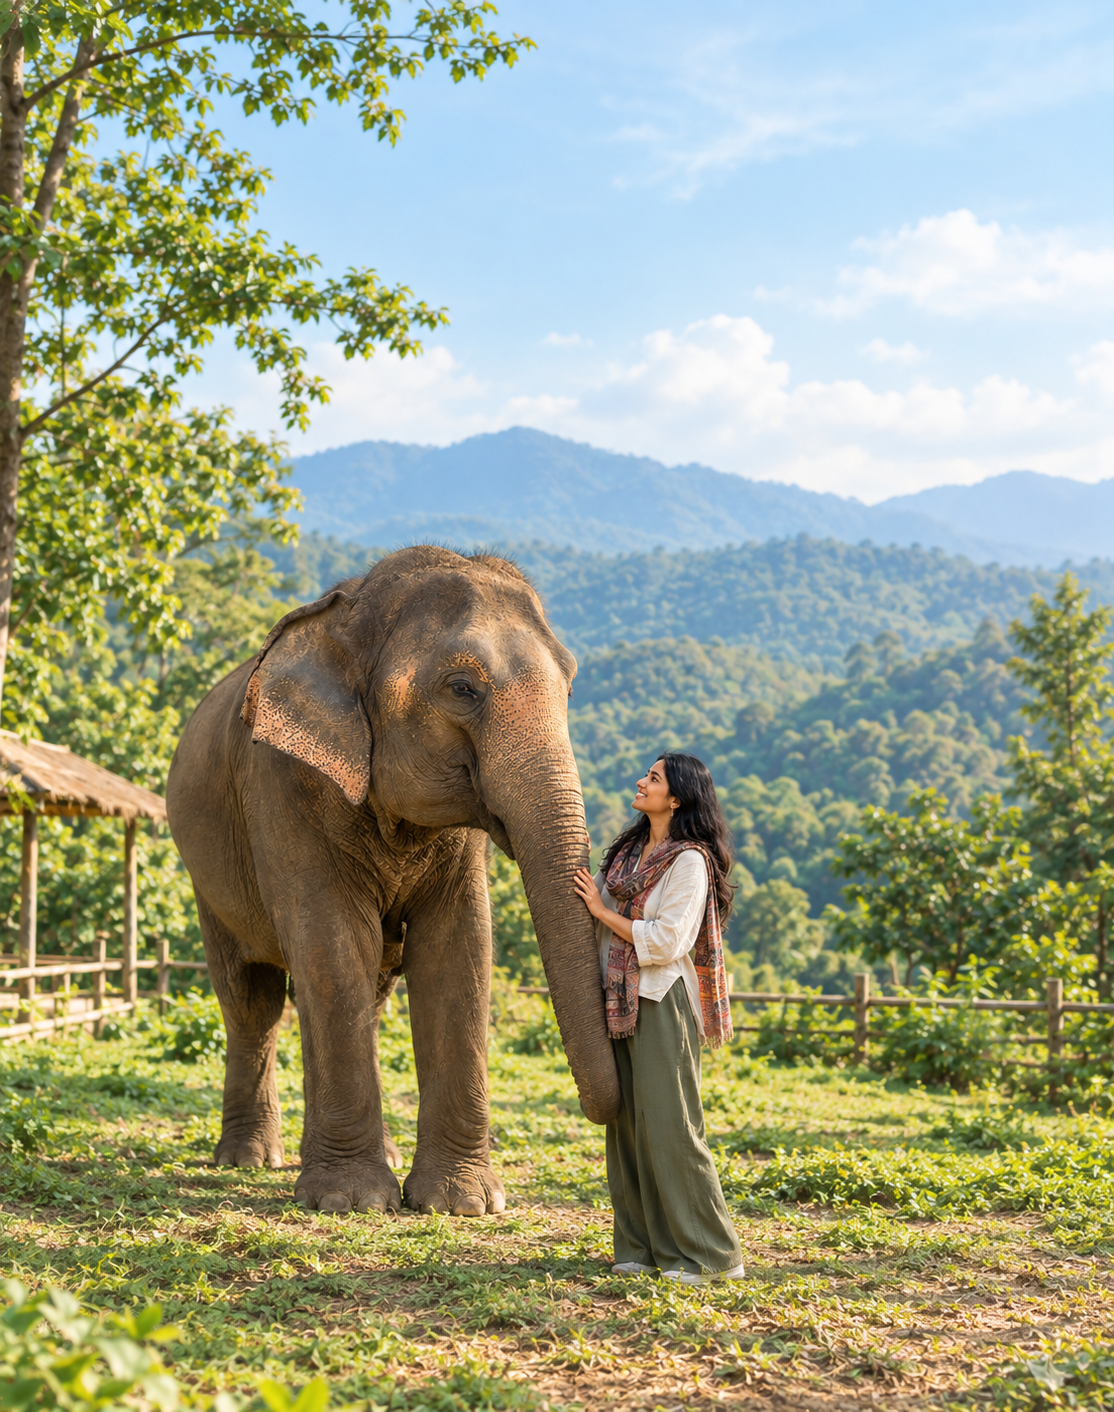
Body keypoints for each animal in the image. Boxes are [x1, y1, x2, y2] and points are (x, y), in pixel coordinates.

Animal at [166, 544, 620, 1216]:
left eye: (569, 684)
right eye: (462, 689)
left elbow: (458, 947)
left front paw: (462, 1205)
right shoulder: (281, 782)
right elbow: (331, 942)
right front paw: (351, 1202)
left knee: (364, 995)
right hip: (207, 879)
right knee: (253, 1000)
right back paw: (248, 1160)